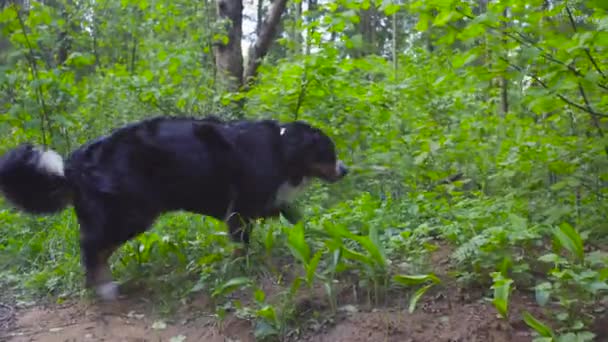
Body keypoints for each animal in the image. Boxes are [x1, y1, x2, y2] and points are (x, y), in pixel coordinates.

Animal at [0, 116, 346, 300]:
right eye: (328, 153)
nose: (345, 170)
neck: (280, 150)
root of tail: (74, 166)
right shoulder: (240, 209)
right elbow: (242, 245)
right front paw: (243, 269)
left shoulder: (262, 203)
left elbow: (291, 214)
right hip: (130, 213)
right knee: (92, 247)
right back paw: (105, 287)